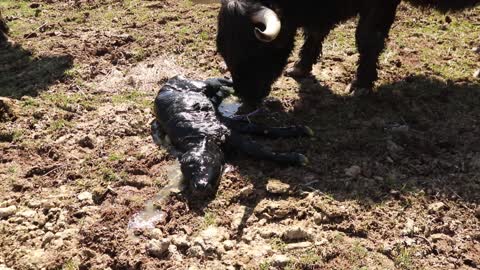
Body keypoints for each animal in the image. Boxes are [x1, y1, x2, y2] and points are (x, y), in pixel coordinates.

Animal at [152, 76, 314, 196]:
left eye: (200, 163)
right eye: (186, 172)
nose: (198, 186)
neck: (198, 138)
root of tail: (170, 80)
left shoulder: (227, 131)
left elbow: (258, 148)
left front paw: (296, 157)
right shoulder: (227, 124)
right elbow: (257, 129)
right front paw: (299, 131)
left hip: (203, 84)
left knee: (219, 80)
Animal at [218, 0, 480, 104]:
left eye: (255, 51)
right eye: (225, 52)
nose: (246, 96)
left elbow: (368, 39)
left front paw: (361, 84)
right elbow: (315, 32)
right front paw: (301, 66)